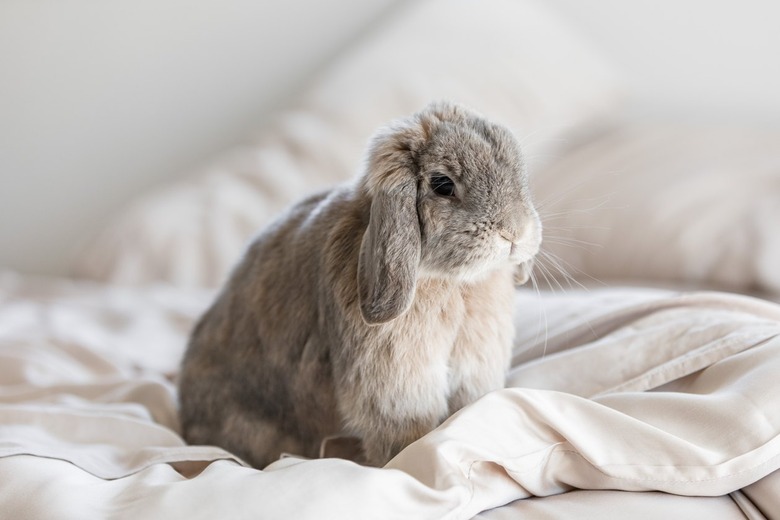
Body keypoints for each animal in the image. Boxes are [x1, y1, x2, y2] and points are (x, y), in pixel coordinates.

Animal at [178, 101, 542, 468]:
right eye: (442, 184)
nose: (515, 231)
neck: (453, 283)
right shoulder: (398, 385)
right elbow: (407, 434)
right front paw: (405, 459)